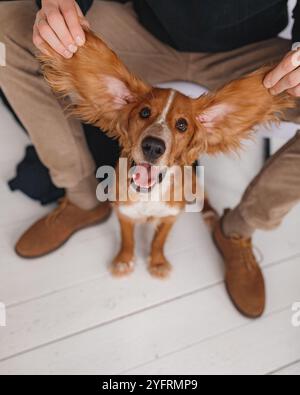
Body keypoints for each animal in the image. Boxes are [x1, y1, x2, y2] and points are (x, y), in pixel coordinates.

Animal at [39, 29, 292, 280]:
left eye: (182, 125)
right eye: (144, 112)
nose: (153, 146)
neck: (149, 194)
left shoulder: (171, 216)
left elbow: (158, 240)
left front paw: (158, 262)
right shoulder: (123, 212)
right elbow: (128, 239)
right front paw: (124, 260)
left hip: (194, 182)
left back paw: (209, 214)